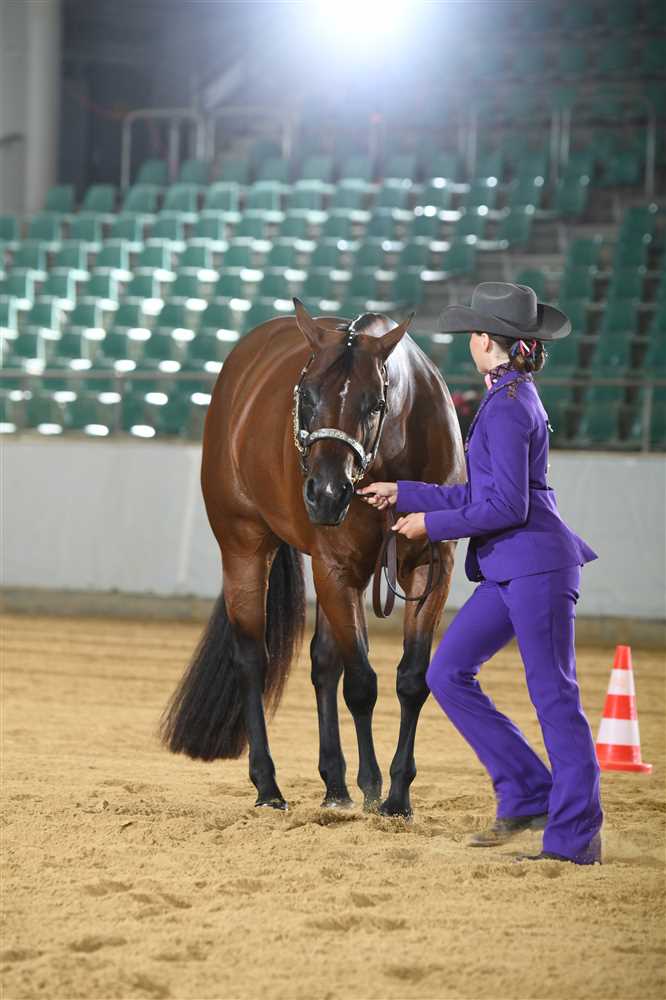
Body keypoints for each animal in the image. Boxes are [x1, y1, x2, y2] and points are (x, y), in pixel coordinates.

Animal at [159, 298, 466, 818]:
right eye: (305, 394)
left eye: (375, 403)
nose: (324, 493)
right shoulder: (337, 569)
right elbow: (361, 683)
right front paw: (371, 786)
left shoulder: (430, 568)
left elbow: (410, 679)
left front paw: (396, 796)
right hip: (245, 545)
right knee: (252, 660)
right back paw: (269, 787)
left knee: (323, 662)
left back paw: (334, 785)